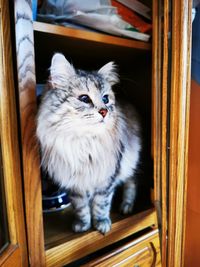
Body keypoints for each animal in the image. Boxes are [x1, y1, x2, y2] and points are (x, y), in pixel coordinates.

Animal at [36, 53, 142, 236]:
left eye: (105, 98)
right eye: (84, 98)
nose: (104, 111)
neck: (84, 142)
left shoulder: (106, 179)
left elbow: (100, 205)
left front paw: (101, 224)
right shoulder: (74, 184)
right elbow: (81, 208)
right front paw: (83, 226)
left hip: (130, 163)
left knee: (131, 183)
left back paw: (126, 207)